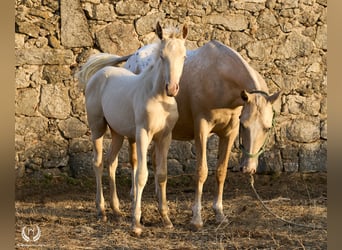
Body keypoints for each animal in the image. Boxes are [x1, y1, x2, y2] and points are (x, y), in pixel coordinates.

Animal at [76, 22, 188, 235]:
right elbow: (141, 175)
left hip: (117, 132)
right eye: (162, 56)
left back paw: (117, 211)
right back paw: (101, 211)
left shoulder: (165, 137)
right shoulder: (143, 134)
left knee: (111, 161)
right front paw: (136, 223)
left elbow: (162, 174)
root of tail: (100, 74)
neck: (157, 96)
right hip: (97, 127)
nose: (172, 88)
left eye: (184, 56)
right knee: (98, 162)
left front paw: (166, 219)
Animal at [123, 40, 280, 229]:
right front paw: (196, 218)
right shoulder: (202, 130)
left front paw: (219, 214)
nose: (248, 168)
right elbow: (202, 171)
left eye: (267, 128)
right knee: (135, 161)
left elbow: (221, 172)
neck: (219, 78)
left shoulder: (229, 133)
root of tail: (133, 58)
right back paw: (133, 198)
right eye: (245, 125)